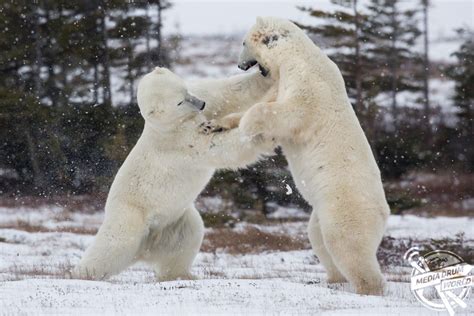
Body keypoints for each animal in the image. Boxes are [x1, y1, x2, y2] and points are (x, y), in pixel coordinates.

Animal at [72, 68, 276, 280]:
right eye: (179, 101)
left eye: (185, 90)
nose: (201, 104)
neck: (170, 125)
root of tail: (145, 249)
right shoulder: (181, 142)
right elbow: (218, 147)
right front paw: (262, 134)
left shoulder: (200, 99)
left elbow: (229, 91)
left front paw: (264, 72)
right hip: (130, 216)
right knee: (113, 245)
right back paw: (81, 273)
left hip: (174, 222)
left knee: (188, 237)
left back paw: (181, 275)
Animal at [232, 16, 388, 294]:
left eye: (243, 43)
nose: (239, 65)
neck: (294, 55)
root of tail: (385, 213)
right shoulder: (282, 80)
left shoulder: (308, 84)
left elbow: (289, 113)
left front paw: (247, 125)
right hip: (321, 212)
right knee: (318, 238)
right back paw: (332, 279)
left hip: (345, 206)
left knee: (347, 244)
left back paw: (368, 288)